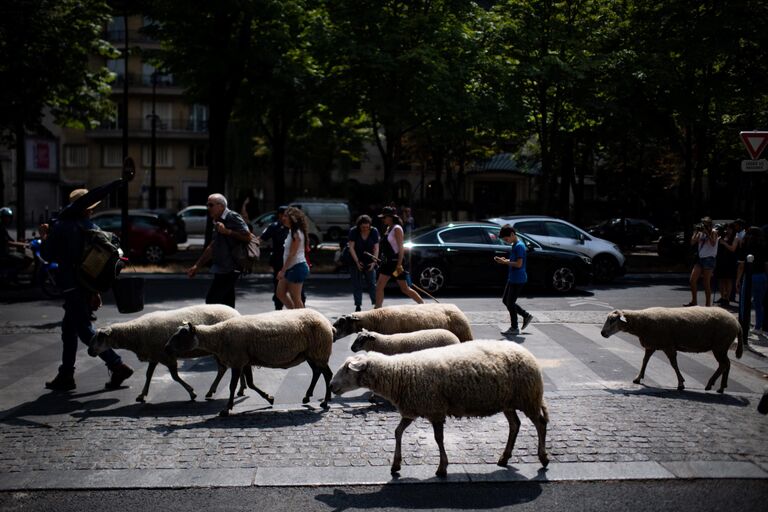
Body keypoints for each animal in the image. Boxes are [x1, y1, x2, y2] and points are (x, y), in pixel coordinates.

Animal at [87, 304, 264, 404]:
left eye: (100, 337)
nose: (89, 351)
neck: (136, 332)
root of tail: (235, 313)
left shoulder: (166, 356)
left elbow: (175, 377)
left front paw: (192, 392)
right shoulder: (156, 355)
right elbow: (148, 375)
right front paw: (142, 395)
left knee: (224, 368)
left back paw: (220, 390)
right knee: (227, 368)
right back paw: (237, 388)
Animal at [166, 308, 334, 416]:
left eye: (182, 335)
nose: (166, 347)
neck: (219, 336)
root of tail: (327, 323)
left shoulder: (237, 361)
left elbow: (232, 386)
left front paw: (226, 409)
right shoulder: (245, 361)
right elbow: (251, 384)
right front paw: (269, 398)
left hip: (319, 351)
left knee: (327, 374)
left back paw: (325, 402)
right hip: (311, 354)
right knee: (317, 372)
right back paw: (307, 396)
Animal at [328, 340, 548, 476]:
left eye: (347, 369)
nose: (330, 386)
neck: (400, 373)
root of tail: (527, 353)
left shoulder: (435, 409)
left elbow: (438, 439)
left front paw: (442, 468)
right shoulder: (412, 409)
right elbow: (398, 432)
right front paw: (396, 464)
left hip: (528, 397)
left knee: (540, 423)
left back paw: (543, 458)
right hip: (508, 401)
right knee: (515, 425)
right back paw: (504, 458)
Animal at [600, 306, 744, 394]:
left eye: (612, 320)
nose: (602, 333)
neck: (642, 323)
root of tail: (737, 323)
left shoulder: (668, 345)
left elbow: (674, 364)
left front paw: (681, 383)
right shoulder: (652, 345)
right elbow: (644, 361)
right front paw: (638, 378)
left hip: (720, 345)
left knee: (723, 364)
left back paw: (711, 384)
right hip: (722, 346)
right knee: (727, 364)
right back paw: (721, 387)